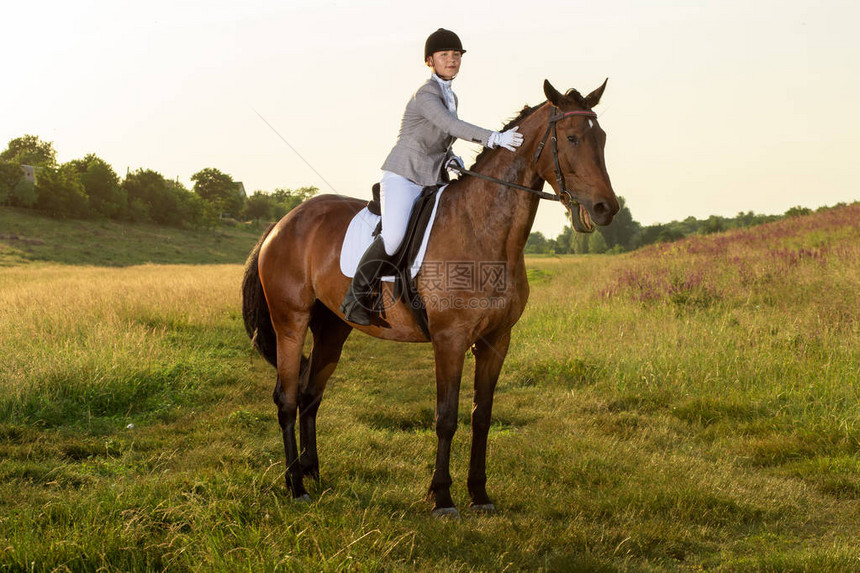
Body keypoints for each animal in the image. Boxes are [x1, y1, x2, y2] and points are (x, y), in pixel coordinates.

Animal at [242, 79, 620, 512]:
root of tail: (283, 223)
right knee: (287, 398)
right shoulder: (449, 339)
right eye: (572, 138)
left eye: (602, 139)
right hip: (290, 321)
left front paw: (479, 493)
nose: (606, 208)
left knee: (310, 396)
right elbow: (446, 417)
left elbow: (481, 416)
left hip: (332, 329)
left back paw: (312, 473)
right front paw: (441, 497)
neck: (483, 229)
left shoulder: (496, 340)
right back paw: (295, 485)